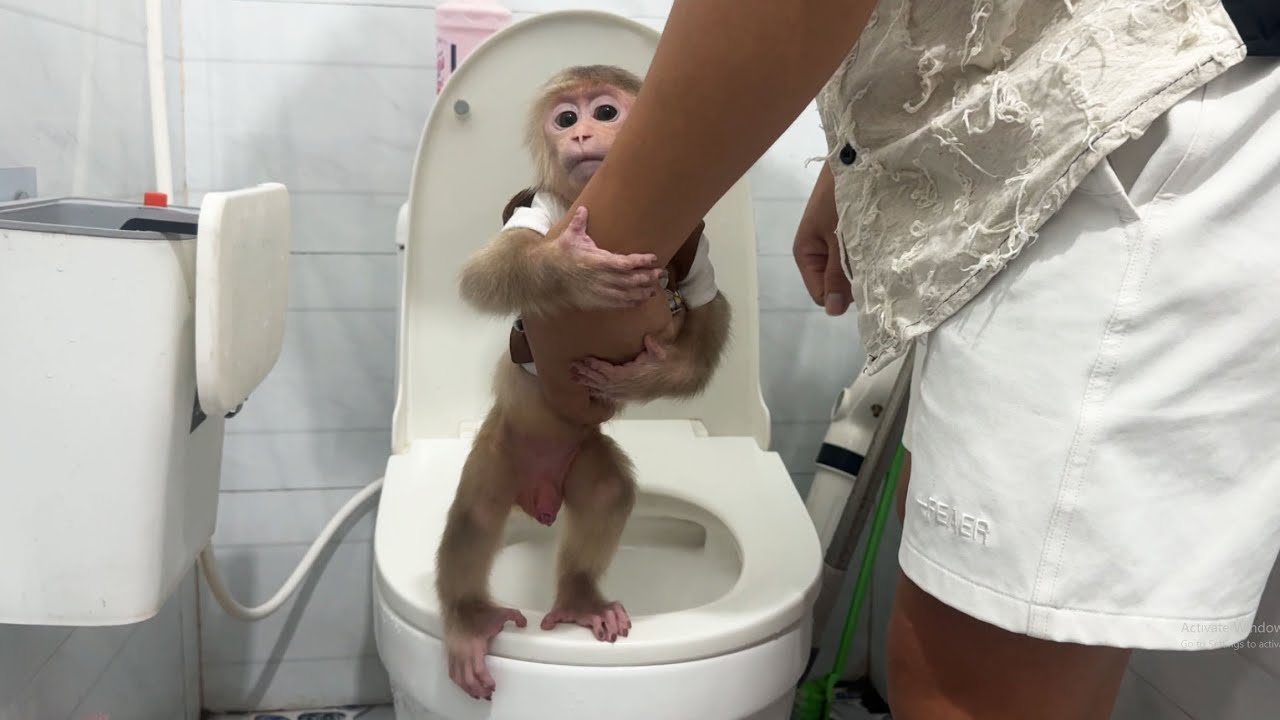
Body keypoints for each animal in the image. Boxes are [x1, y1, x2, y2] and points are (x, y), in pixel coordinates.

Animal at [435, 64, 732, 701]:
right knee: (475, 517)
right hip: (500, 451)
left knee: (608, 493)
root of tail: (539, 494)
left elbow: (707, 307)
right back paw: (470, 616)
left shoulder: (698, 245)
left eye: (605, 112)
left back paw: (579, 598)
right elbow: (487, 272)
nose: (579, 135)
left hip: (581, 457)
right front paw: (569, 269)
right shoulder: (539, 207)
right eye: (566, 117)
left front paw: (657, 371)